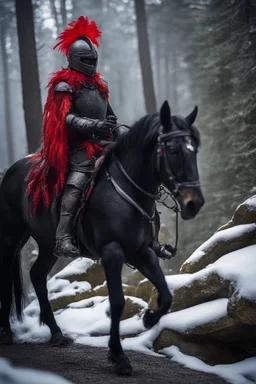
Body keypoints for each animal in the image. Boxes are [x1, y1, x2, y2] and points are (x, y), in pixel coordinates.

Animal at [0, 100, 204, 374]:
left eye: (194, 150)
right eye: (172, 150)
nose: (195, 203)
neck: (127, 192)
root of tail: (11, 171)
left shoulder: (142, 253)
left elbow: (166, 295)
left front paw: (149, 318)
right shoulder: (112, 252)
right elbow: (117, 303)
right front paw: (118, 356)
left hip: (46, 244)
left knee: (37, 275)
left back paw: (56, 333)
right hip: (11, 236)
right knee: (7, 278)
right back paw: (6, 332)